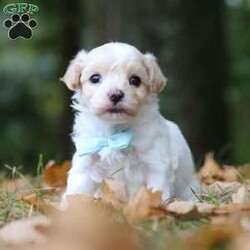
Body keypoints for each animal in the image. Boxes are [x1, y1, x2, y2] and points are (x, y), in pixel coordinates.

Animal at [61, 41, 199, 205]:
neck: (115, 131)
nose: (115, 94)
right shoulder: (86, 162)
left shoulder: (156, 164)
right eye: (95, 78)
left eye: (135, 80)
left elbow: (156, 191)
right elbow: (76, 190)